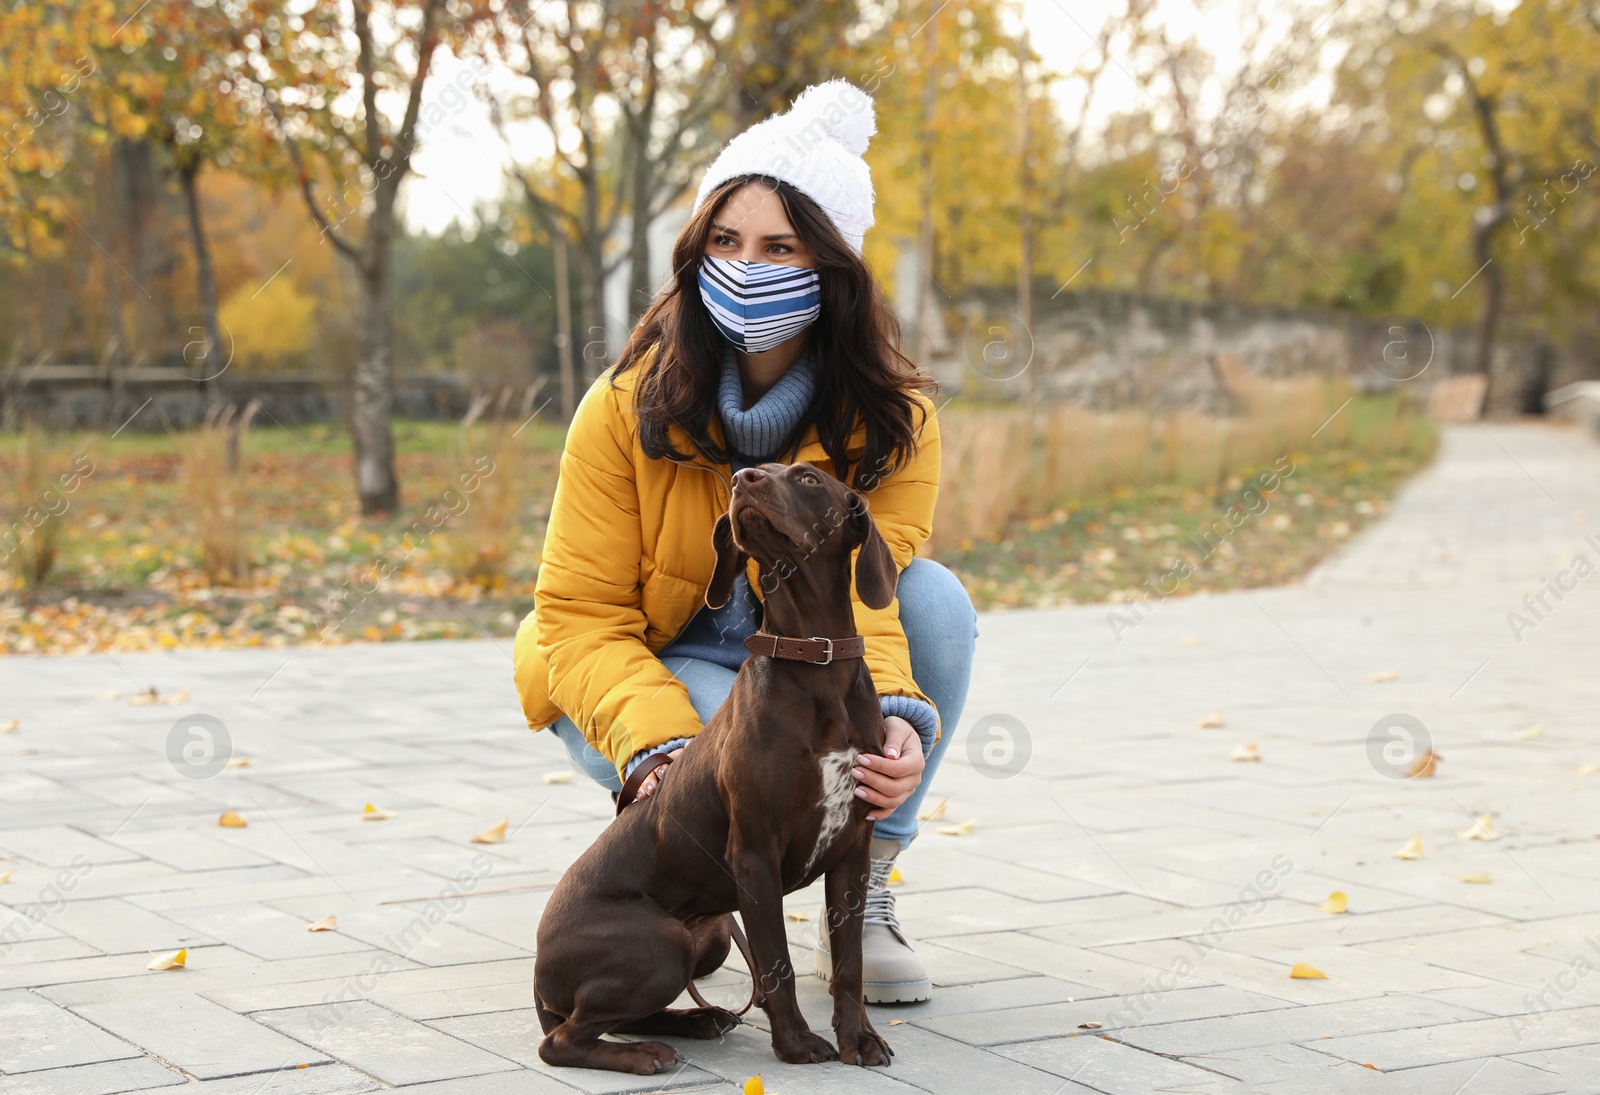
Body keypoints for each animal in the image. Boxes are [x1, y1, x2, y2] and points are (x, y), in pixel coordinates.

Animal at [537, 457, 902, 1075]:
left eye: (809, 478)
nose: (743, 478)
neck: (817, 657)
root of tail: (539, 976)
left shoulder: (852, 853)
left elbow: (848, 963)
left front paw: (861, 1039)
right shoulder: (755, 855)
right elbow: (777, 964)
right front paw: (797, 1045)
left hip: (707, 936)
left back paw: (698, 1020)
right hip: (663, 943)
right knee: (563, 1039)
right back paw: (647, 1054)